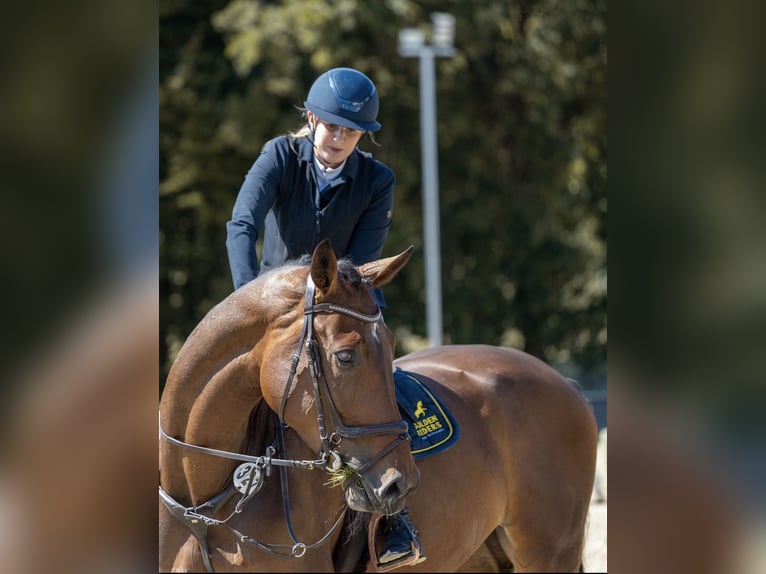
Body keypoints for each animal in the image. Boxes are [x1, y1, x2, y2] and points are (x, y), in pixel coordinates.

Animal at [158, 241, 600, 572]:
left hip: (549, 554)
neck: (202, 501)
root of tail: (565, 384)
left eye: (391, 345)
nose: (401, 484)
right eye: (346, 356)